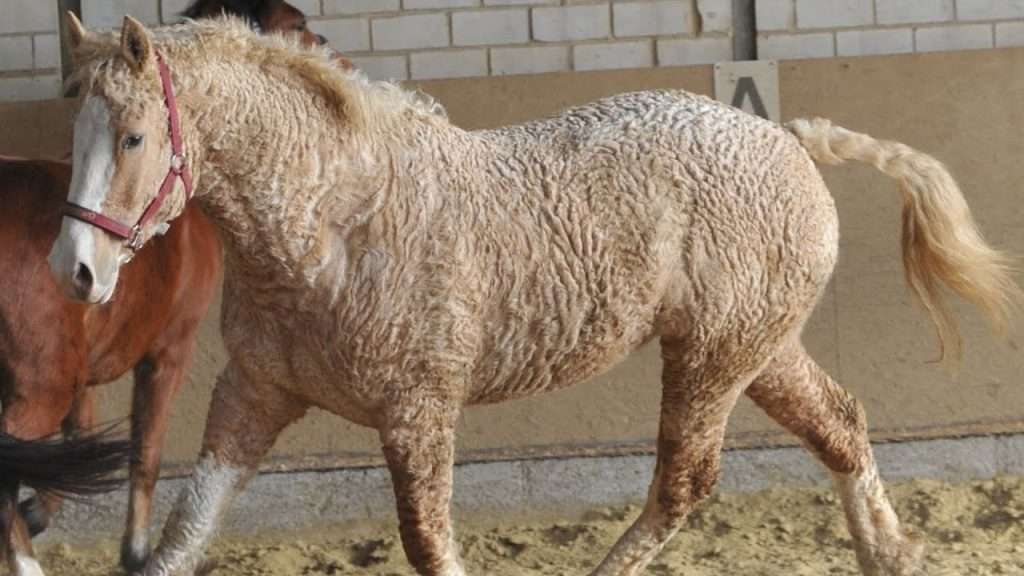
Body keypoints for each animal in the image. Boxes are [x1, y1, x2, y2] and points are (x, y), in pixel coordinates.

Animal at [0, 1, 348, 569]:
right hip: (38, 388)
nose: (336, 62)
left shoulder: (81, 371)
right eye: (297, 26)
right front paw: (137, 550)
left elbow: (75, 438)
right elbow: (146, 452)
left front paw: (43, 511)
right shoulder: (167, 352)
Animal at [51, 13, 1019, 573]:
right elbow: (182, 537)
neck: (334, 222)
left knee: (684, 483)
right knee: (841, 429)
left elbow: (428, 544)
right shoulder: (253, 395)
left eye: (133, 136)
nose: (77, 273)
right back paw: (890, 554)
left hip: (712, 359)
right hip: (759, 349)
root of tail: (786, 136)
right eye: (77, 132)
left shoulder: (419, 414)